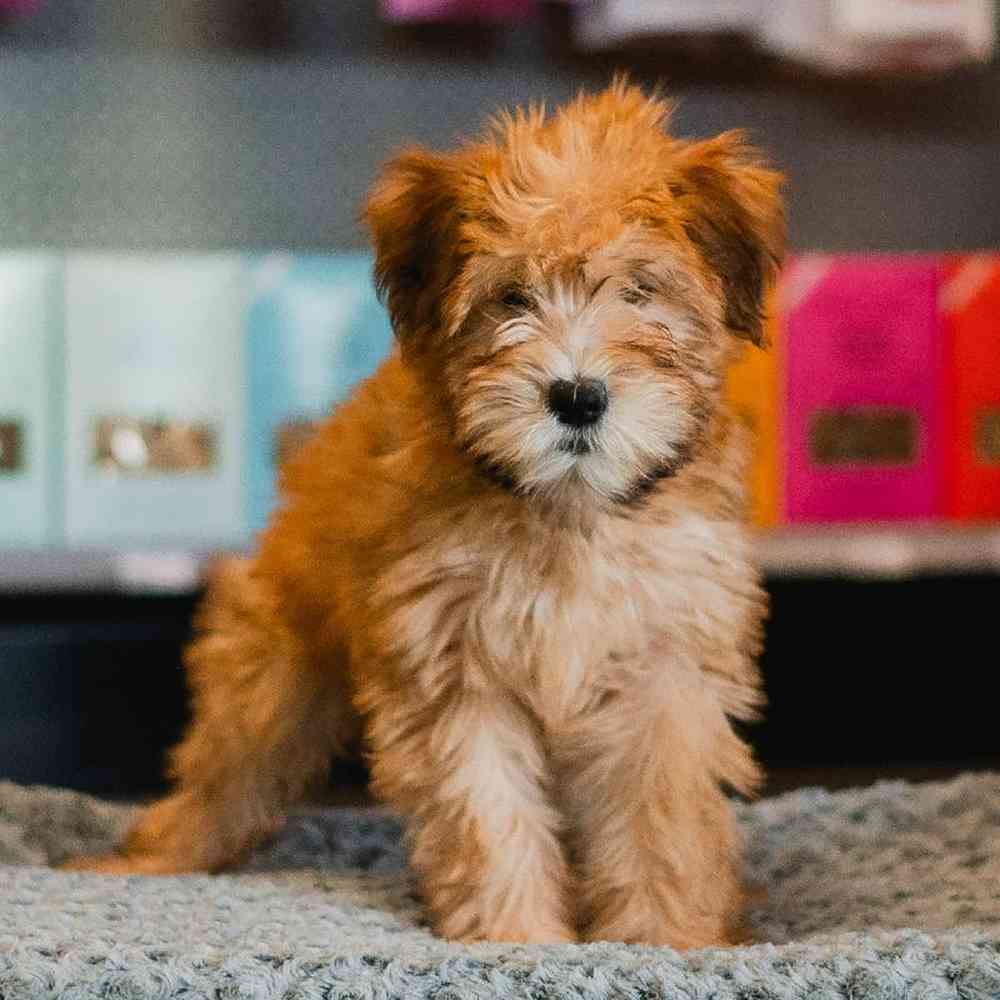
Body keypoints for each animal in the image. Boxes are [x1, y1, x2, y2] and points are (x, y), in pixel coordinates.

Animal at [72, 82, 788, 948]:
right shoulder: (451, 663)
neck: (566, 510)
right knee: (228, 767)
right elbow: (487, 812)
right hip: (275, 665)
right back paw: (153, 858)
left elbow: (663, 818)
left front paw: (664, 941)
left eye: (640, 292)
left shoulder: (667, 663)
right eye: (510, 298)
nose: (577, 396)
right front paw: (520, 938)